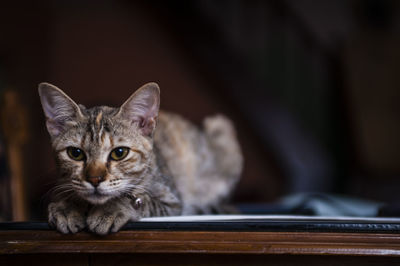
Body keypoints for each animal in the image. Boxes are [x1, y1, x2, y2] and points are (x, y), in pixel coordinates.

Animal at [39, 82, 242, 235]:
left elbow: (139, 198)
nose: (95, 179)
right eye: (75, 153)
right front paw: (67, 206)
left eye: (119, 153)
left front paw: (111, 208)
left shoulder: (174, 203)